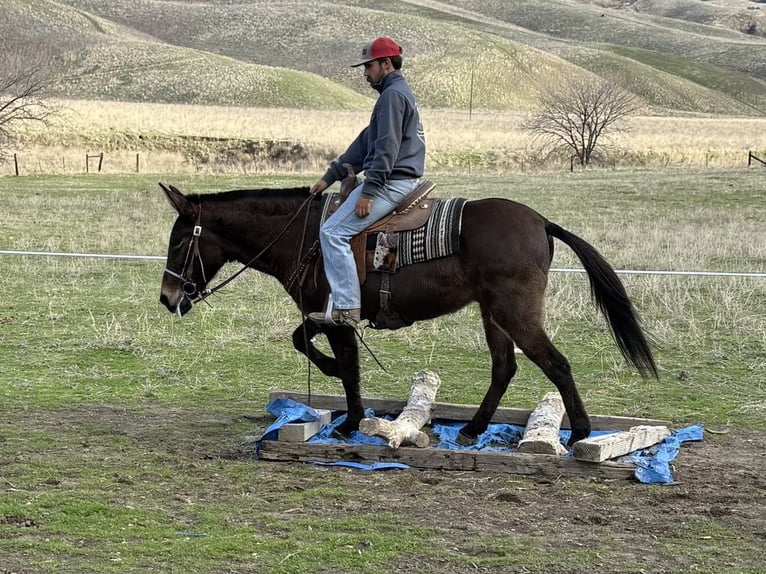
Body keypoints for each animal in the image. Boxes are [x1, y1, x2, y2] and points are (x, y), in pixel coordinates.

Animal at [158, 182, 657, 447]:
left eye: (180, 240)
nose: (167, 297)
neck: (306, 236)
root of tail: (541, 222)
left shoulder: (338, 317)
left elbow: (349, 369)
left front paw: (350, 421)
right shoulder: (321, 314)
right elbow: (303, 341)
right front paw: (336, 388)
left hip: (515, 313)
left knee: (556, 364)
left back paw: (580, 434)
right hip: (493, 314)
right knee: (504, 368)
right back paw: (474, 429)